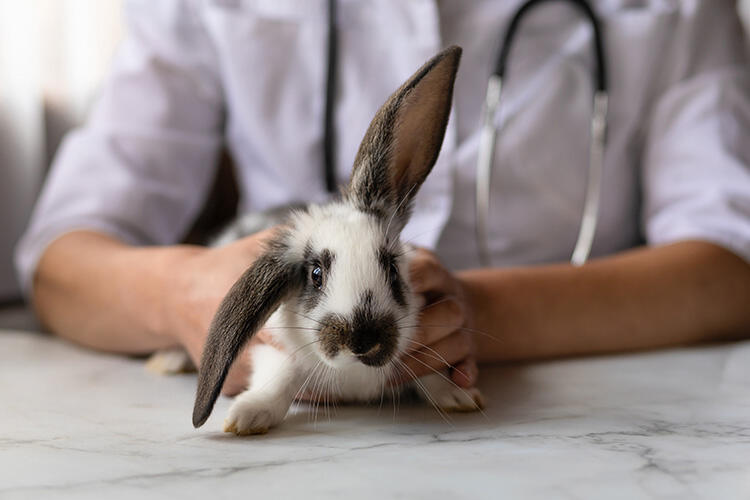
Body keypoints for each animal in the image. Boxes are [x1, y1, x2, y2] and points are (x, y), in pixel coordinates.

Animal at [191, 47, 484, 438]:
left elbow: (431, 374)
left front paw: (459, 395)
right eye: (315, 274)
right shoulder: (274, 347)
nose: (362, 341)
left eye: (392, 269)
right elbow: (281, 375)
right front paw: (248, 416)